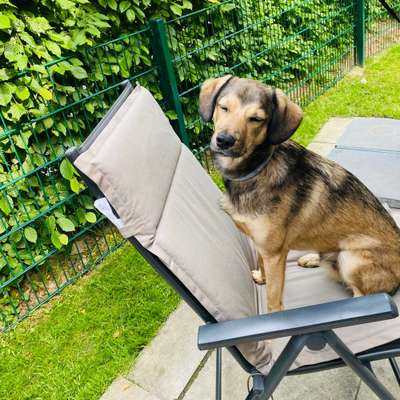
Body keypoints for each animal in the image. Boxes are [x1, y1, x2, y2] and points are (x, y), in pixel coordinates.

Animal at [199, 75, 400, 312]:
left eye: (256, 119)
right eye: (223, 107)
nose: (224, 140)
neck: (255, 170)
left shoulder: (274, 254)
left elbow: (273, 301)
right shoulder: (261, 246)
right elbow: (261, 265)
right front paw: (262, 278)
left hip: (351, 259)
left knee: (360, 294)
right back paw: (312, 258)